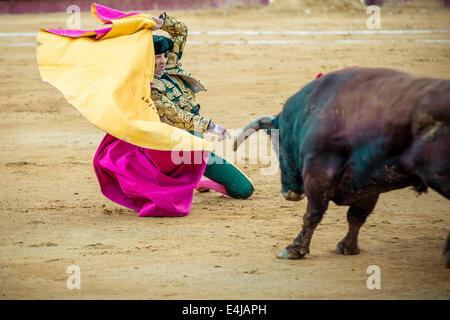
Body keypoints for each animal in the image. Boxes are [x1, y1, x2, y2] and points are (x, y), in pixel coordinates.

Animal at [234, 68, 448, 268]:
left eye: (277, 145)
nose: (289, 193)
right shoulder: (371, 183)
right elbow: (356, 216)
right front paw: (347, 247)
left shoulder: (319, 174)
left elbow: (313, 213)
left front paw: (293, 249)